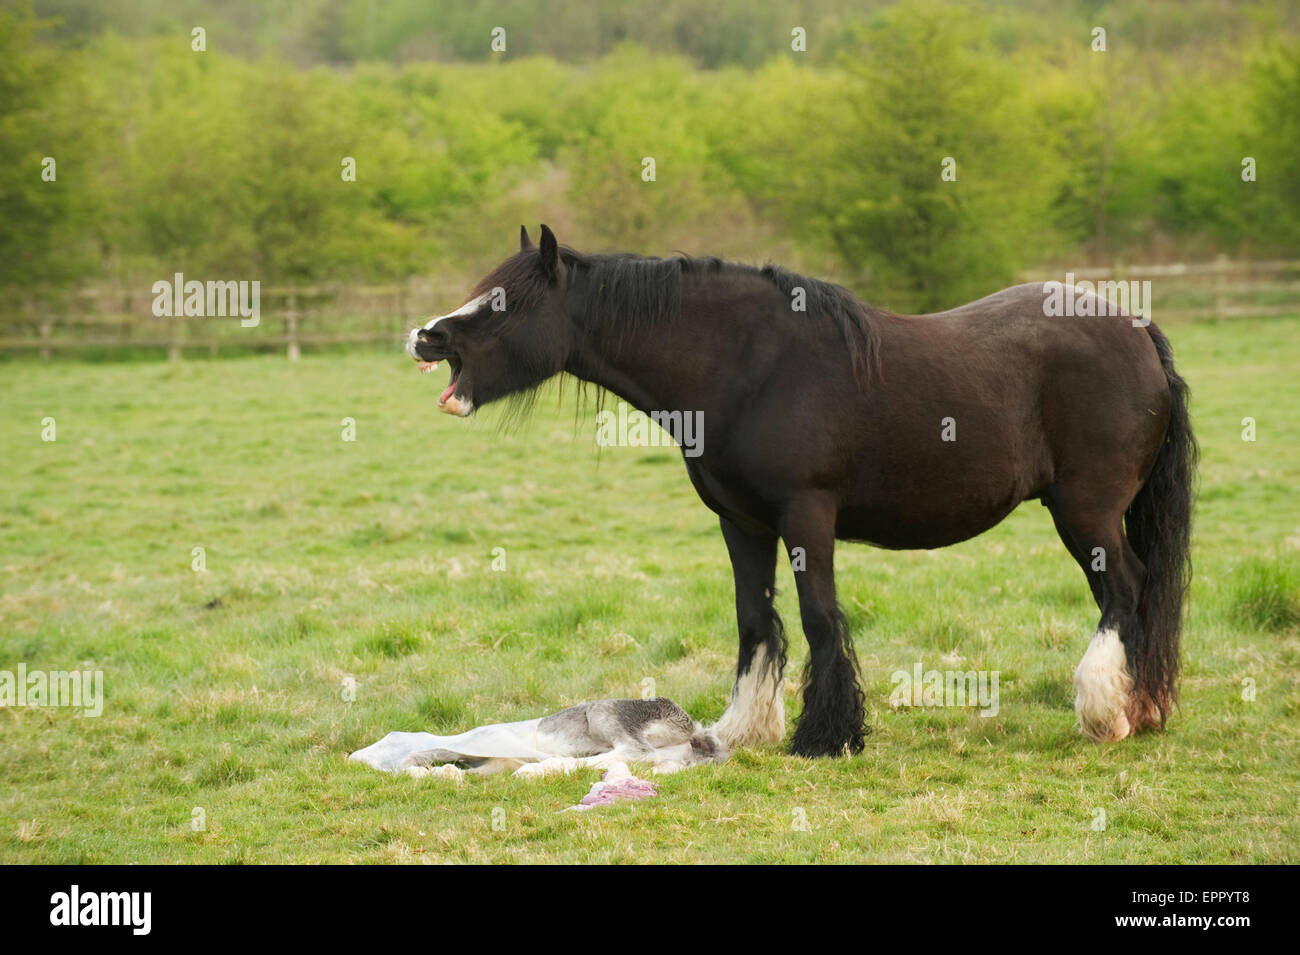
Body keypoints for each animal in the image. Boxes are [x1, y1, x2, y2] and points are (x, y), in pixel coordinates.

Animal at [408, 227, 1196, 758]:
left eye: (503, 301)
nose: (425, 337)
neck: (745, 364)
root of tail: (1138, 330)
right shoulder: (742, 523)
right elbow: (755, 619)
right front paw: (744, 729)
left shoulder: (805, 514)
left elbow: (819, 617)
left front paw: (828, 734)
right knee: (1136, 596)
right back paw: (1143, 707)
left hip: (1086, 511)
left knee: (1125, 590)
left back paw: (1108, 714)